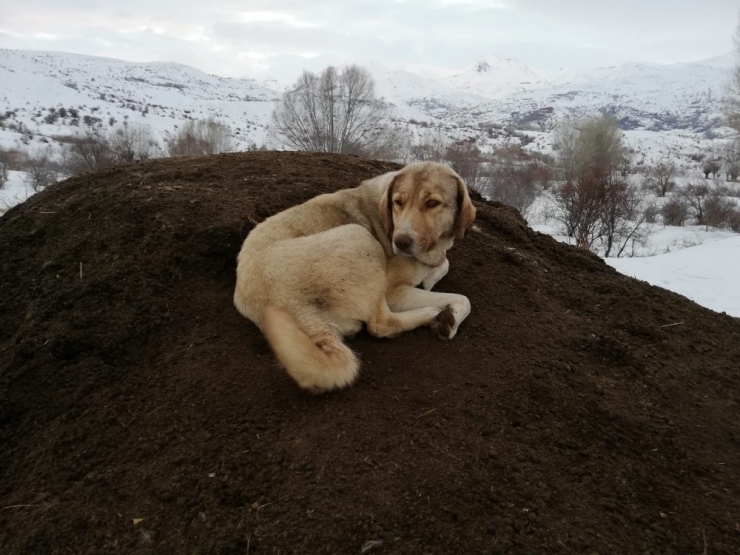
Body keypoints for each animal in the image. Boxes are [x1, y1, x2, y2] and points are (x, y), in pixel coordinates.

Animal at [234, 161, 476, 396]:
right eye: (398, 202)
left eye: (432, 203)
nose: (400, 242)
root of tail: (284, 302)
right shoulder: (393, 291)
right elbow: (463, 298)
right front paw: (450, 318)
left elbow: (444, 263)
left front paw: (431, 275)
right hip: (361, 237)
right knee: (380, 324)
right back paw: (433, 314)